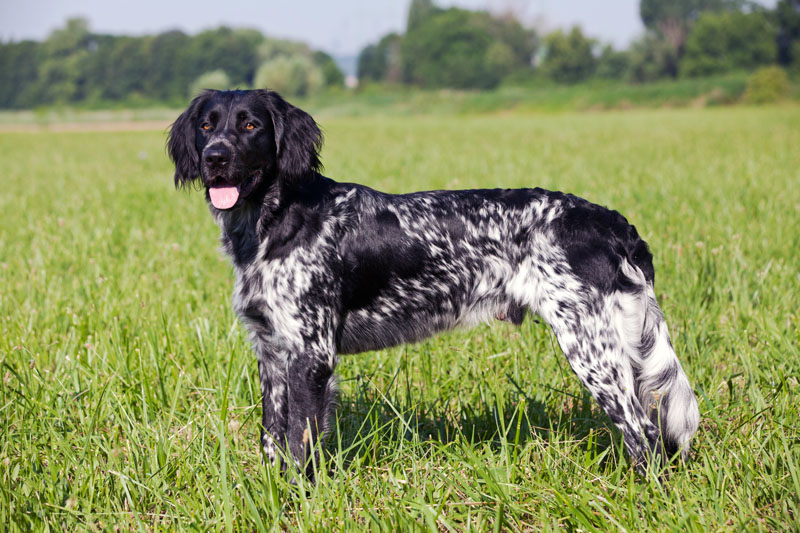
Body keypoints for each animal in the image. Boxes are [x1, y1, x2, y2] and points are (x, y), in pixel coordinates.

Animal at [169, 89, 700, 476]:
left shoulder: (310, 353)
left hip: (591, 347)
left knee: (646, 434)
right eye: (207, 125)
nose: (215, 157)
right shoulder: (272, 351)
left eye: (251, 126)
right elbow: (273, 439)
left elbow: (301, 444)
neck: (278, 219)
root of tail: (613, 223)